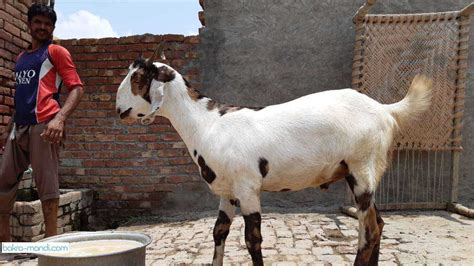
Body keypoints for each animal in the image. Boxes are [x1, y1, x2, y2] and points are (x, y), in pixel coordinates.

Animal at [115, 44, 434, 264]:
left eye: (137, 79)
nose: (119, 110)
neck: (208, 123)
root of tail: (385, 110)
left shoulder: (248, 188)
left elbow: (252, 240)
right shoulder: (228, 191)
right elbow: (219, 232)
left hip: (362, 168)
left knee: (368, 232)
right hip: (360, 172)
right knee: (379, 224)